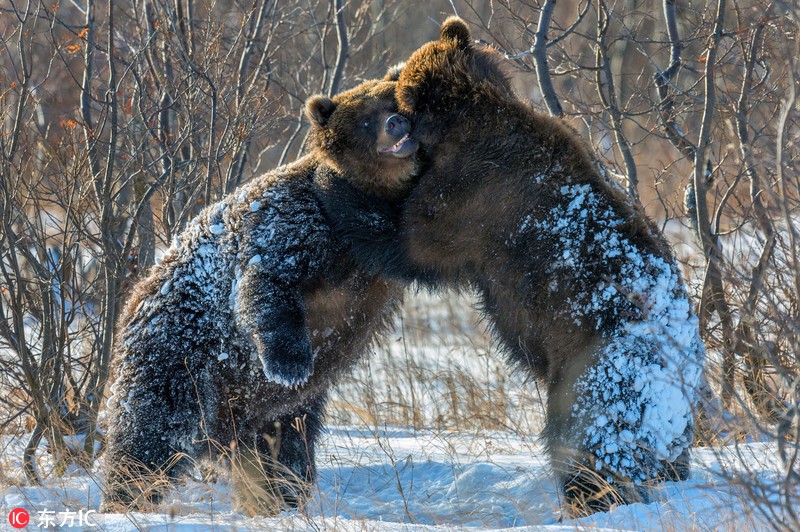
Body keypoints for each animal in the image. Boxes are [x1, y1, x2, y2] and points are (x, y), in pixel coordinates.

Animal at [100, 75, 418, 516]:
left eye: (395, 100)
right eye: (367, 118)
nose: (396, 123)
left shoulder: (379, 251)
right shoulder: (292, 224)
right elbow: (268, 284)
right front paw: (290, 363)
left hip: (275, 412)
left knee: (286, 452)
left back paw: (280, 499)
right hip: (180, 362)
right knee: (151, 435)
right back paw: (126, 499)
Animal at [322, 18, 704, 512]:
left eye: (396, 85)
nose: (387, 83)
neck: (465, 122)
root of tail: (684, 369)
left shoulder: (473, 195)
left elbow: (411, 242)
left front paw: (336, 185)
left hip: (601, 366)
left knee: (586, 438)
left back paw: (591, 497)